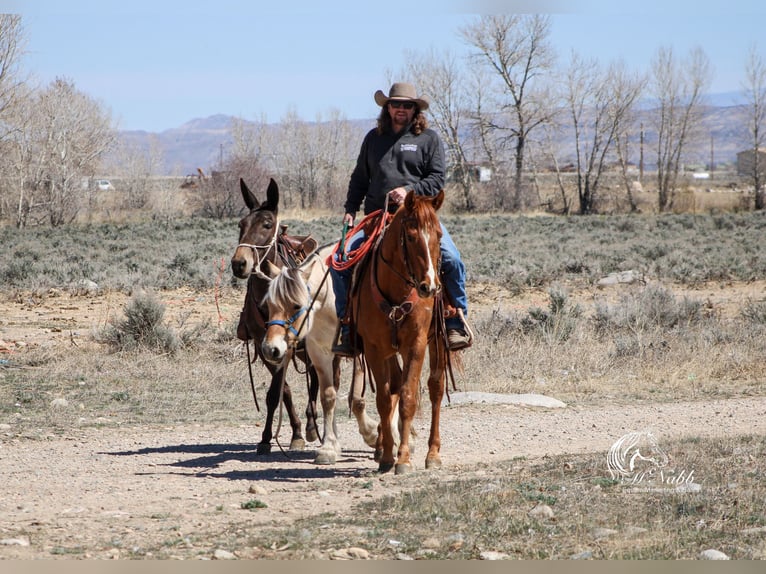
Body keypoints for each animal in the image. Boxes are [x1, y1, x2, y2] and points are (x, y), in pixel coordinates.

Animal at [231, 178, 320, 456]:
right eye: (241, 225)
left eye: (267, 225)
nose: (239, 264)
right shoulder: (267, 346)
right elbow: (281, 392)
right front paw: (276, 436)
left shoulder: (285, 346)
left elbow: (278, 391)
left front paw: (299, 432)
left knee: (316, 378)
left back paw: (313, 424)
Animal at [262, 245, 382, 466]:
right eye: (269, 305)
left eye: (296, 305)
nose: (270, 349)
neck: (330, 301)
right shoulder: (320, 353)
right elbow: (328, 396)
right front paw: (328, 448)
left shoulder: (362, 353)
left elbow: (357, 399)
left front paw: (373, 435)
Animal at [346, 191, 450, 474]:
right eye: (411, 237)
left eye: (438, 235)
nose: (429, 287)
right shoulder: (374, 349)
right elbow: (384, 399)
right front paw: (386, 456)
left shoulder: (416, 345)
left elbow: (408, 398)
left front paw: (403, 458)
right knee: (394, 384)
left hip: (438, 341)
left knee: (436, 388)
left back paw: (433, 453)